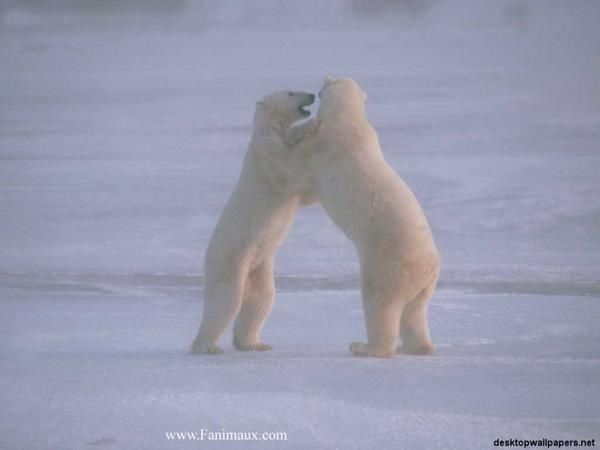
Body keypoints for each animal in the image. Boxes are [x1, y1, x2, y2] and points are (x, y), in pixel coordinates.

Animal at [192, 89, 322, 354]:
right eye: (291, 92)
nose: (312, 95)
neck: (266, 127)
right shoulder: (266, 151)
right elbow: (289, 168)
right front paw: (311, 126)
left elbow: (304, 195)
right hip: (230, 259)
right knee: (225, 300)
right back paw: (206, 346)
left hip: (258, 266)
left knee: (261, 299)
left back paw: (254, 343)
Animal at [308, 77, 438, 358]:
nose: (320, 83)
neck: (350, 117)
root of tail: (428, 269)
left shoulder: (330, 141)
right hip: (422, 288)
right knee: (414, 314)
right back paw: (417, 347)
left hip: (388, 267)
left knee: (380, 304)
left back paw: (364, 347)